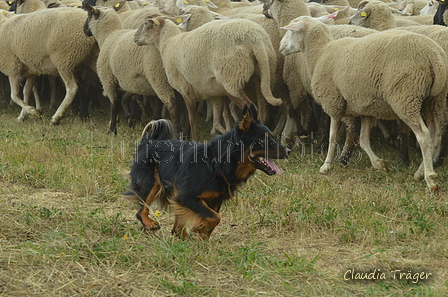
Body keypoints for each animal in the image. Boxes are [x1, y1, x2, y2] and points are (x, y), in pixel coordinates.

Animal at [124, 103, 288, 238]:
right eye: (263, 140)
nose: (289, 150)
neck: (216, 163)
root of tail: (148, 142)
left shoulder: (213, 199)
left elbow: (213, 218)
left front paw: (203, 238)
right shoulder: (187, 196)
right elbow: (215, 217)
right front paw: (201, 229)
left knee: (176, 228)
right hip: (152, 182)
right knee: (141, 210)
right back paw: (149, 223)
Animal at [132, 15, 280, 140]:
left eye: (145, 24)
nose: (135, 38)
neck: (168, 43)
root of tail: (255, 38)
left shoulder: (185, 89)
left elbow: (192, 119)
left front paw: (193, 140)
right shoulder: (214, 94)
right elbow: (216, 119)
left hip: (231, 79)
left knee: (253, 110)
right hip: (261, 73)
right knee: (263, 112)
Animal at [280, 15, 448, 190]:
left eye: (291, 31)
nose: (280, 47)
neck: (320, 53)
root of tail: (433, 55)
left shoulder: (333, 102)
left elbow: (332, 137)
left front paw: (326, 166)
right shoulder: (365, 108)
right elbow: (363, 140)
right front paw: (379, 164)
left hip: (406, 97)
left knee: (423, 135)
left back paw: (430, 178)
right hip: (434, 99)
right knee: (435, 135)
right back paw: (420, 173)